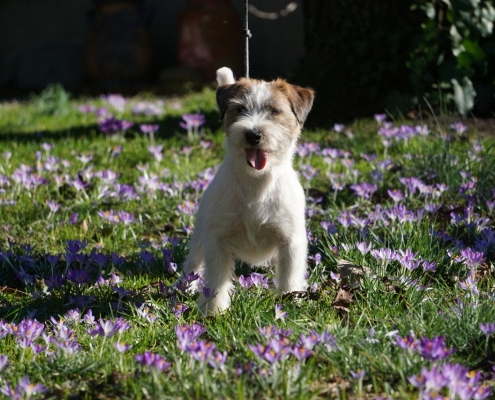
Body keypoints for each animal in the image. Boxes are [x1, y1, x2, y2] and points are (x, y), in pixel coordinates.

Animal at [182, 66, 314, 316]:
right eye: (240, 109)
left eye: (274, 111)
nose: (253, 134)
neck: (257, 183)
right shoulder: (217, 241)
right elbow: (216, 279)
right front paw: (212, 309)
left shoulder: (291, 242)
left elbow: (289, 277)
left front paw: (290, 302)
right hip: (200, 237)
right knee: (193, 263)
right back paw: (186, 286)